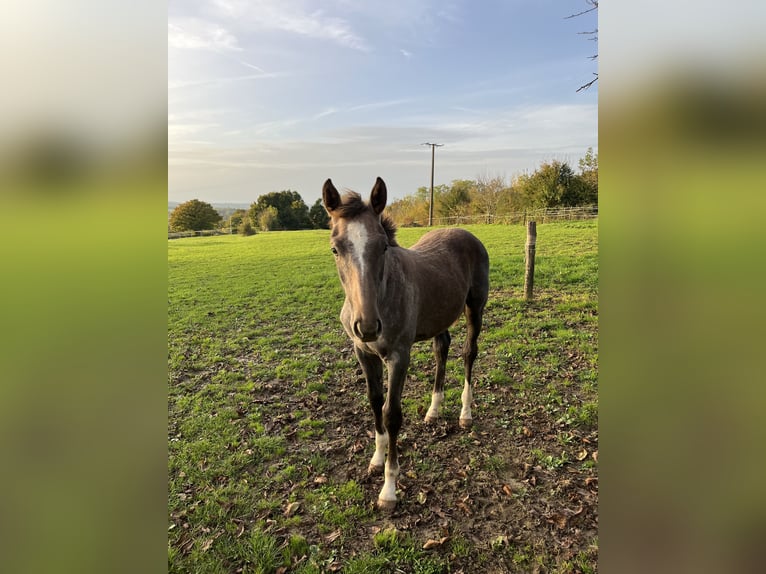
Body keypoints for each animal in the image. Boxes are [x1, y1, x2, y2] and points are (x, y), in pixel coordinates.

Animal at [324, 178, 492, 510]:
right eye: (335, 248)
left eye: (383, 246)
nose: (367, 326)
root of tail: (466, 233)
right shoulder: (363, 352)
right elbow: (374, 401)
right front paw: (376, 459)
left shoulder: (399, 356)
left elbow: (392, 413)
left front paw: (389, 488)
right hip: (440, 314)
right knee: (442, 348)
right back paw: (434, 410)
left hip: (475, 306)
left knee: (469, 352)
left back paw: (465, 413)